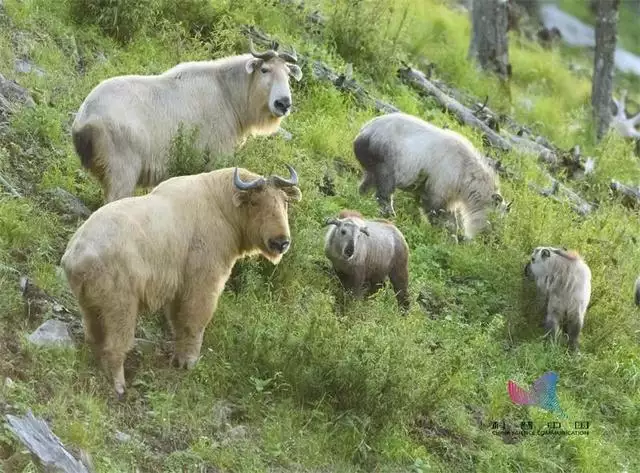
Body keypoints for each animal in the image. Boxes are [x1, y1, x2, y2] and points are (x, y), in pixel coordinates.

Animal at [61, 164, 302, 396]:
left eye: (284, 202)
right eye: (255, 202)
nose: (281, 242)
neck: (221, 207)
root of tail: (76, 257)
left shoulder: (177, 287)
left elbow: (177, 320)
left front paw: (178, 357)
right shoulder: (203, 281)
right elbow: (195, 319)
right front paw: (189, 362)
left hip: (90, 303)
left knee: (93, 335)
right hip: (120, 303)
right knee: (116, 343)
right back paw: (118, 384)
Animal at [71, 41, 302, 203]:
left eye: (288, 75)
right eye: (265, 70)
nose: (283, 103)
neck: (228, 94)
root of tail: (84, 118)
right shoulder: (217, 156)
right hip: (122, 170)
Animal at [352, 111, 512, 240]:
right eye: (495, 221)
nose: (494, 239)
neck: (466, 173)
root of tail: (363, 131)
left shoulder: (445, 192)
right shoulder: (440, 185)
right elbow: (437, 211)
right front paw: (444, 235)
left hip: (374, 163)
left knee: (367, 183)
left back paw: (361, 199)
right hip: (386, 161)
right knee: (385, 191)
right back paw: (390, 215)